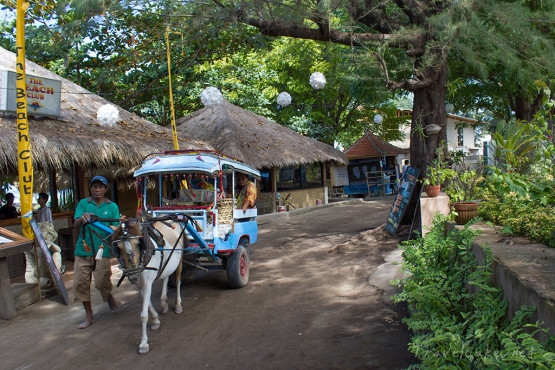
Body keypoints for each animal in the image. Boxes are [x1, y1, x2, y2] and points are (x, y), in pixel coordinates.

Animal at [111, 217, 187, 352]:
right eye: (118, 247)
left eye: (138, 244)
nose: (133, 274)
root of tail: (173, 219)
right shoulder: (138, 285)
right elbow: (148, 305)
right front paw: (156, 320)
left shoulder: (147, 283)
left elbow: (143, 315)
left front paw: (143, 343)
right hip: (167, 262)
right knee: (165, 277)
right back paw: (163, 303)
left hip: (180, 260)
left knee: (178, 281)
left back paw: (178, 304)